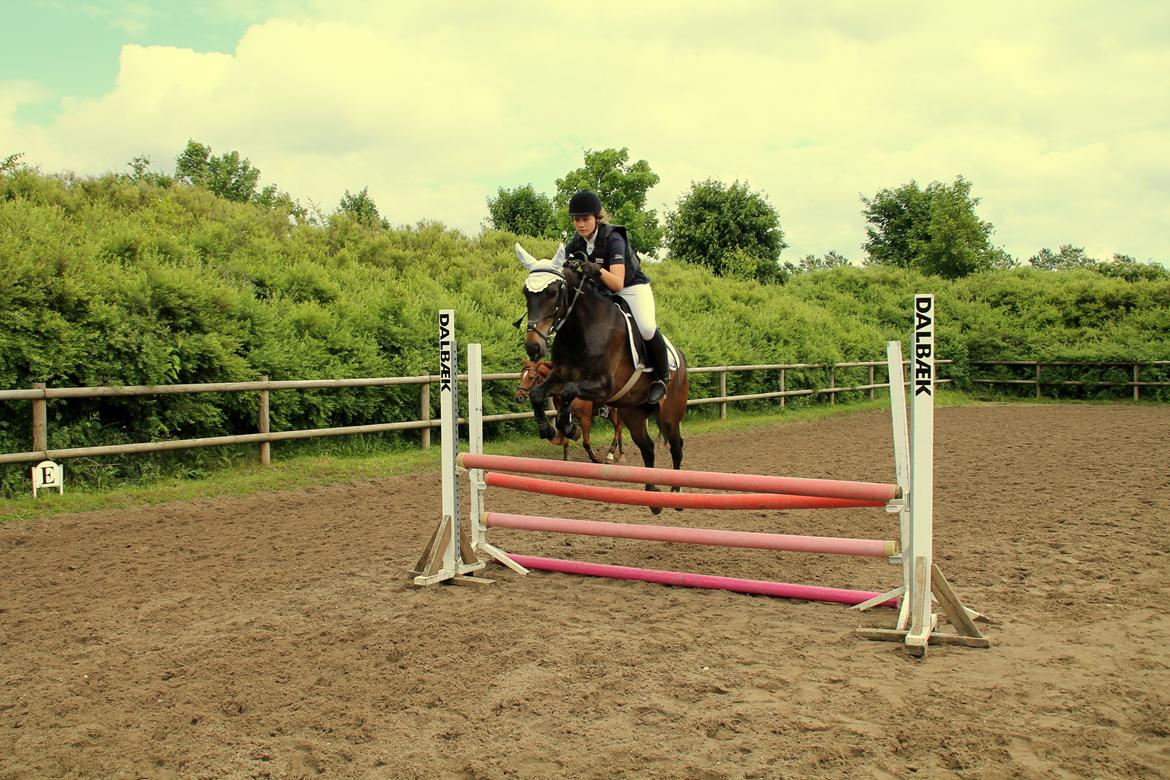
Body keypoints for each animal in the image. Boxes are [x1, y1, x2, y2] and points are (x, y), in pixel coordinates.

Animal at [515, 243, 688, 514]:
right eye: (526, 292)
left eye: (553, 292)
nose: (533, 347)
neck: (579, 329)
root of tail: (679, 357)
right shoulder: (560, 375)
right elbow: (539, 394)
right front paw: (549, 428)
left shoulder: (604, 386)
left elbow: (569, 393)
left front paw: (570, 428)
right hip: (632, 413)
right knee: (647, 447)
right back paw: (653, 497)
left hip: (669, 414)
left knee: (676, 445)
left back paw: (677, 494)